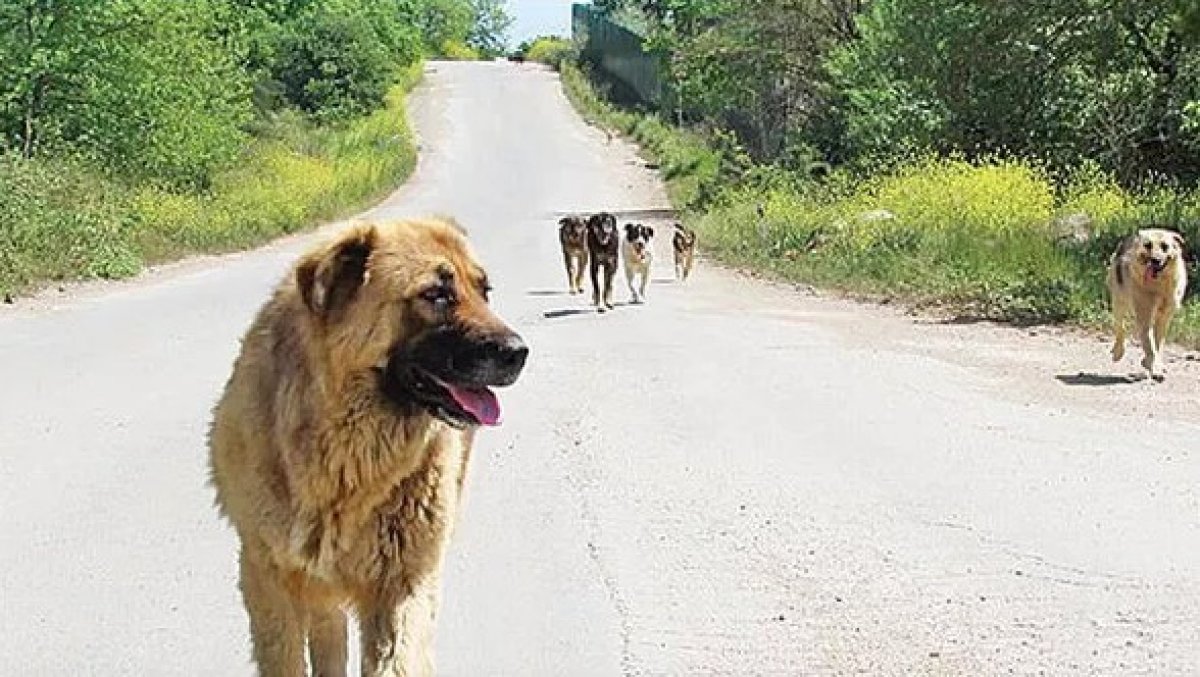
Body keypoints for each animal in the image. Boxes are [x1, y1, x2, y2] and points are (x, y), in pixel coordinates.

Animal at [208, 217, 528, 677]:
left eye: (484, 291)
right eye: (436, 295)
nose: (520, 352)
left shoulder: (401, 581)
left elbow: (395, 657)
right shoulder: (268, 575)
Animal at [1104, 224, 1190, 379]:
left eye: (1165, 246)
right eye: (1148, 245)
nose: (1155, 260)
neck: (1159, 285)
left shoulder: (1164, 318)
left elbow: (1157, 344)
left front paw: (1154, 364)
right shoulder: (1145, 316)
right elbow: (1150, 346)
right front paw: (1154, 368)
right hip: (1119, 302)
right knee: (1120, 327)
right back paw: (1118, 352)